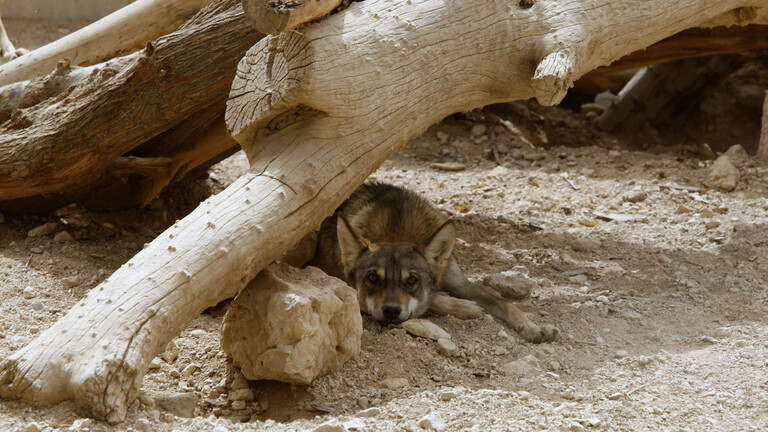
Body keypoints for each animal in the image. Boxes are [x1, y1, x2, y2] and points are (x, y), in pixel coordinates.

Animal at [284, 181, 556, 342]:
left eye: (412, 280)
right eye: (373, 278)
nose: (391, 311)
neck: (397, 232)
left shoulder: (461, 283)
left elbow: (504, 303)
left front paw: (532, 327)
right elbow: (433, 299)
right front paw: (465, 308)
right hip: (309, 241)